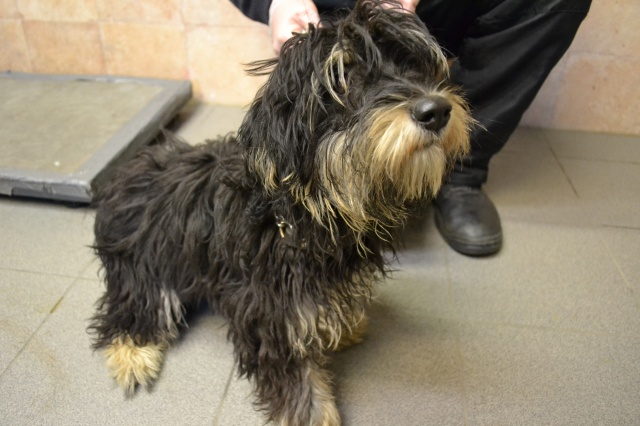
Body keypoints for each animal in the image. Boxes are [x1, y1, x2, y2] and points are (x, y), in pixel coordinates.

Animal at [89, 1, 472, 424]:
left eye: (411, 65)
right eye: (346, 75)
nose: (437, 110)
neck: (313, 209)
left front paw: (347, 324)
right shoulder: (272, 313)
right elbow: (297, 380)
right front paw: (315, 415)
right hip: (146, 265)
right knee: (133, 308)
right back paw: (133, 354)